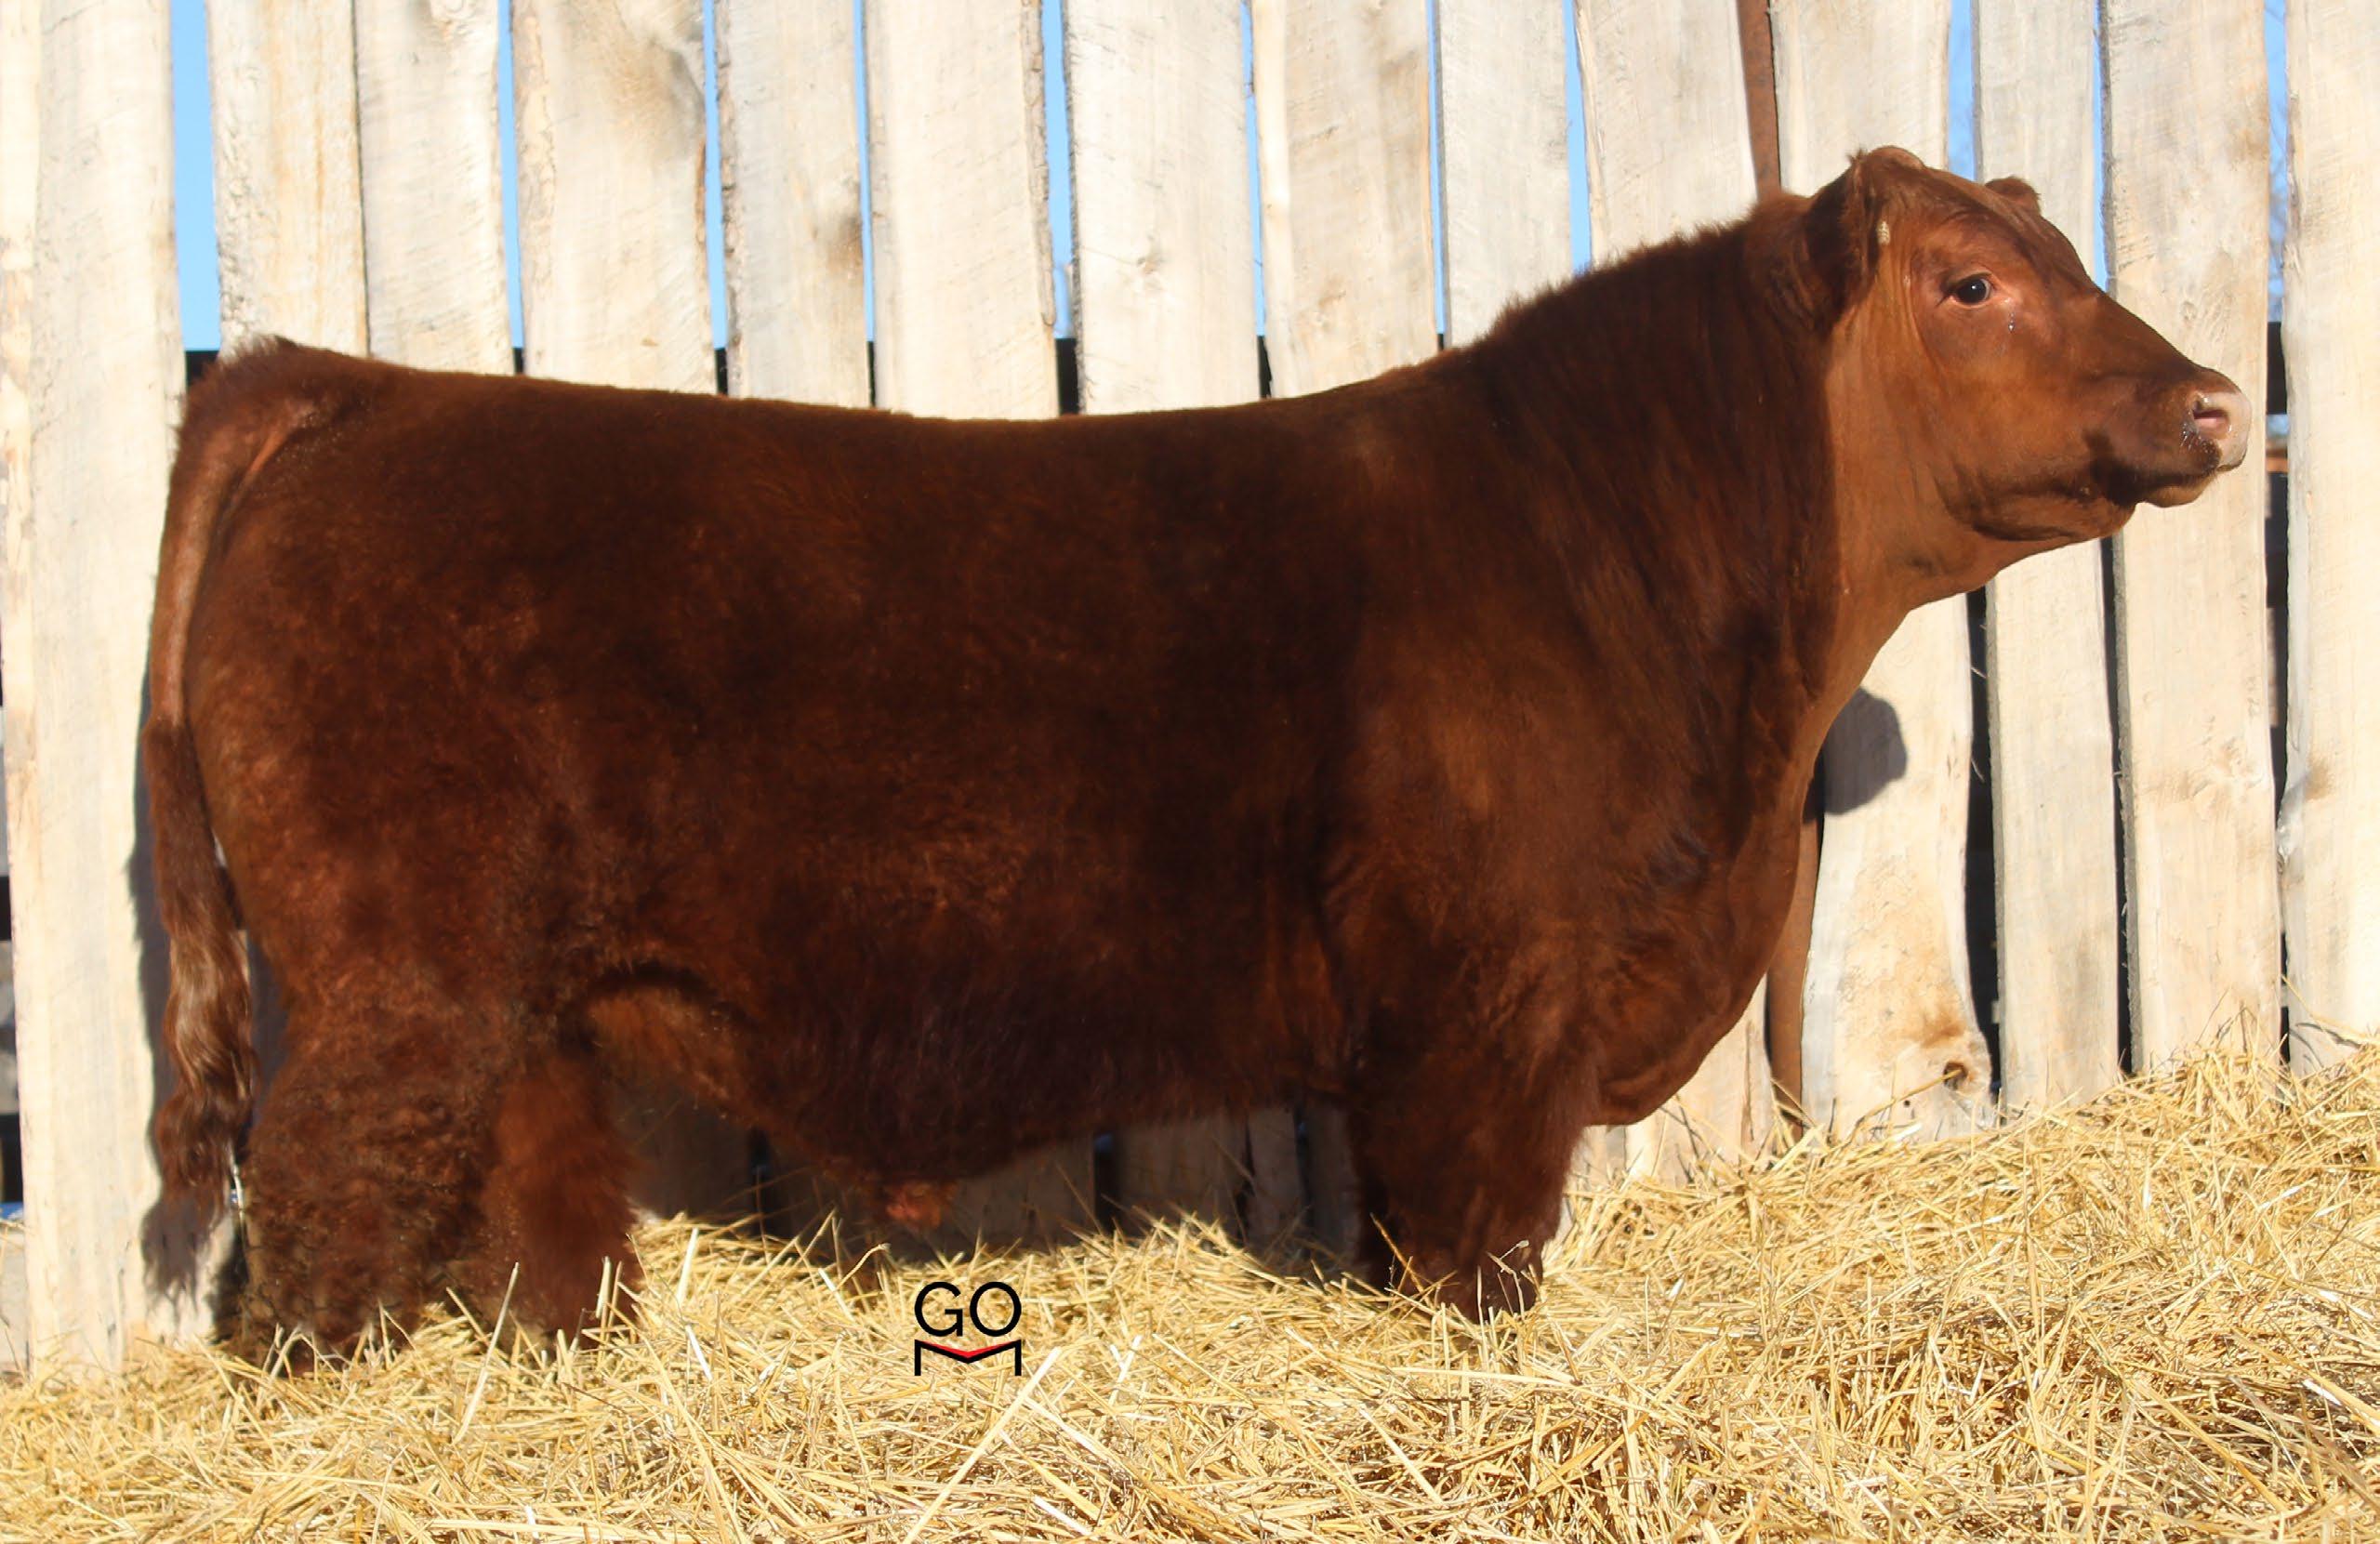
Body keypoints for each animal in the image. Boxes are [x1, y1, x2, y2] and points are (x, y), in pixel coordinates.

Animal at [144, 147, 2250, 1351]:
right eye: (1971, 283)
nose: (2217, 400)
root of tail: (356, 387)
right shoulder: (1493, 993)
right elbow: (1475, 1228)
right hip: (395, 971)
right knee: (321, 1199)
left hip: (509, 994)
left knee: (528, 1191)